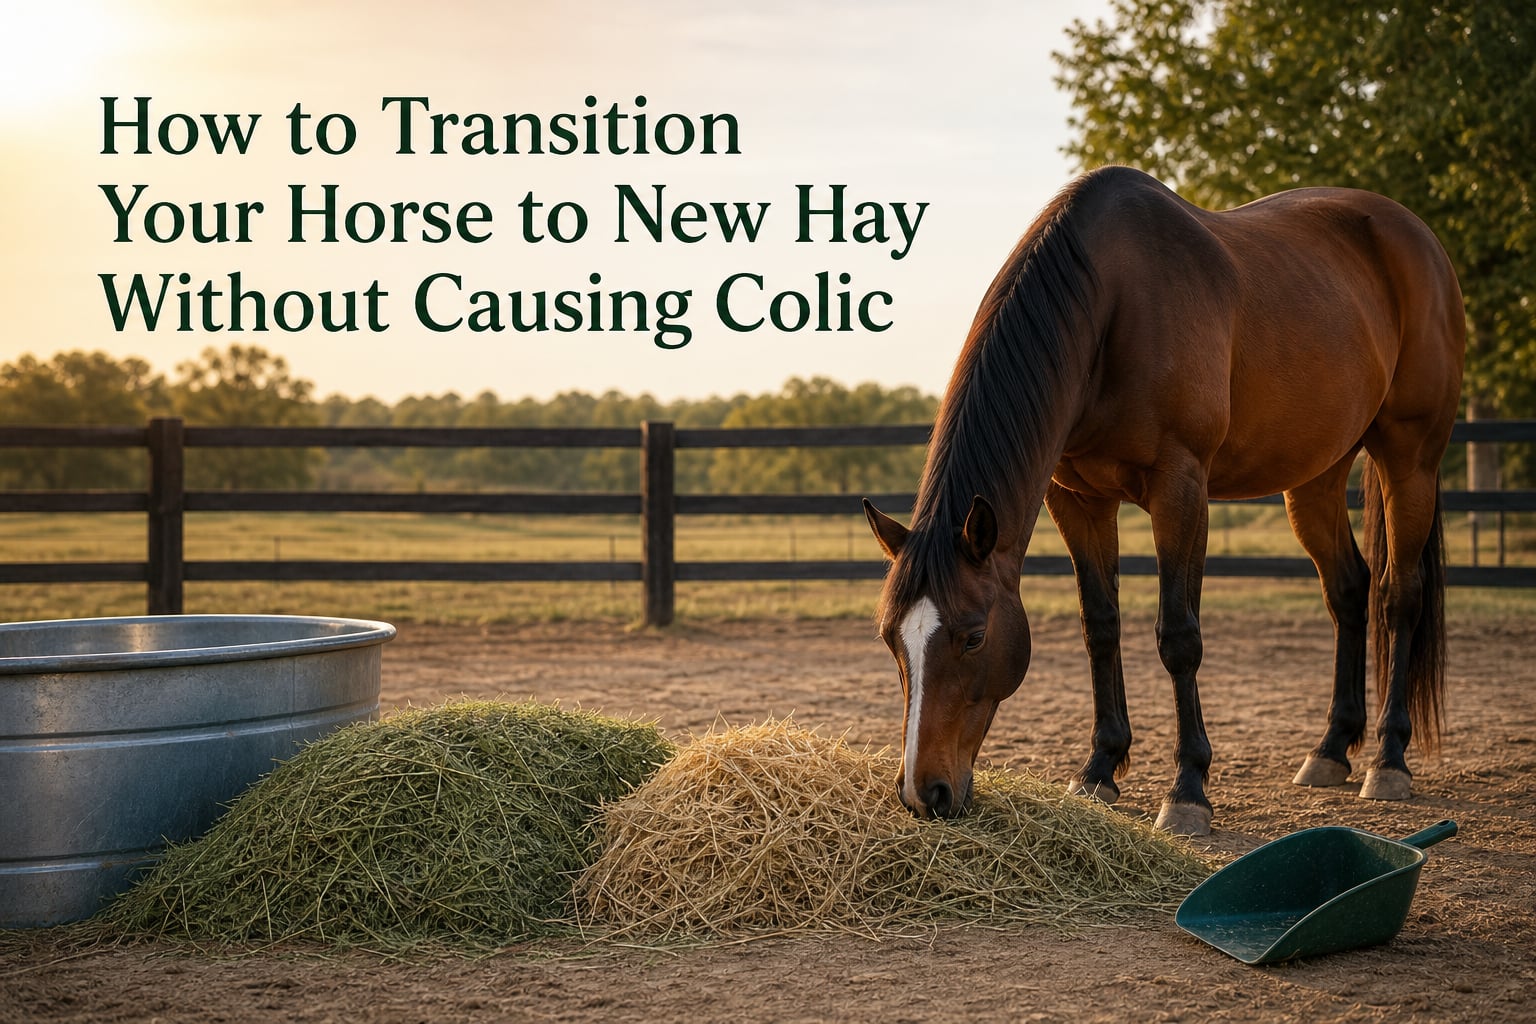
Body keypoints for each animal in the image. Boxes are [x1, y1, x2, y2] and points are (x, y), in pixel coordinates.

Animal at [863, 165, 1465, 835]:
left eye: (972, 637)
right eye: (891, 639)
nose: (924, 794)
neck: (1110, 305)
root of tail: (1415, 235)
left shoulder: (1180, 487)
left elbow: (1178, 635)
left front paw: (1187, 790)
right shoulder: (1078, 499)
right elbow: (1100, 625)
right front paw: (1099, 768)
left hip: (1410, 460)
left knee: (1398, 596)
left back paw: (1388, 759)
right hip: (1315, 478)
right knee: (1349, 590)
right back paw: (1332, 749)